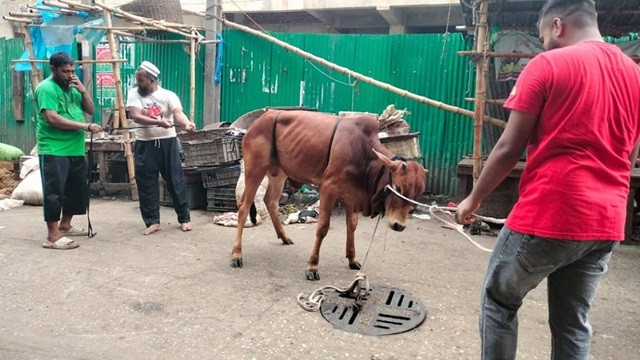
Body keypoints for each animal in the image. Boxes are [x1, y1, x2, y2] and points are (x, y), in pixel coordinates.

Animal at [230, 109, 424, 282]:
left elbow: (351, 226)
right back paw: (236, 254)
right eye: (398, 187)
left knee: (270, 201)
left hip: (279, 174)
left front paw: (352, 259)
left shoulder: (352, 196)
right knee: (244, 207)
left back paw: (284, 237)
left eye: (418, 193)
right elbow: (323, 227)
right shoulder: (328, 189)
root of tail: (257, 122)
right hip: (255, 169)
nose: (399, 226)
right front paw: (312, 267)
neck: (364, 153)